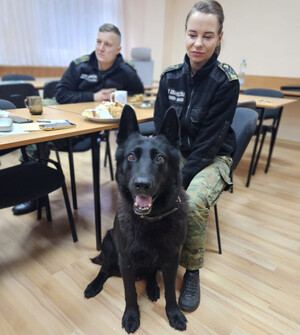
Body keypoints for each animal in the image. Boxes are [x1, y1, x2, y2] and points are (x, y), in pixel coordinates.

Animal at [84, 105, 188, 334]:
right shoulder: (127, 261)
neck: (151, 220)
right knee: (105, 268)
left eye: (160, 159)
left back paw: (152, 287)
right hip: (109, 242)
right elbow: (129, 293)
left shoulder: (170, 260)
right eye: (131, 157)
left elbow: (170, 293)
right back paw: (94, 285)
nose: (142, 185)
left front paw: (173, 314)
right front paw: (131, 316)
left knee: (149, 273)